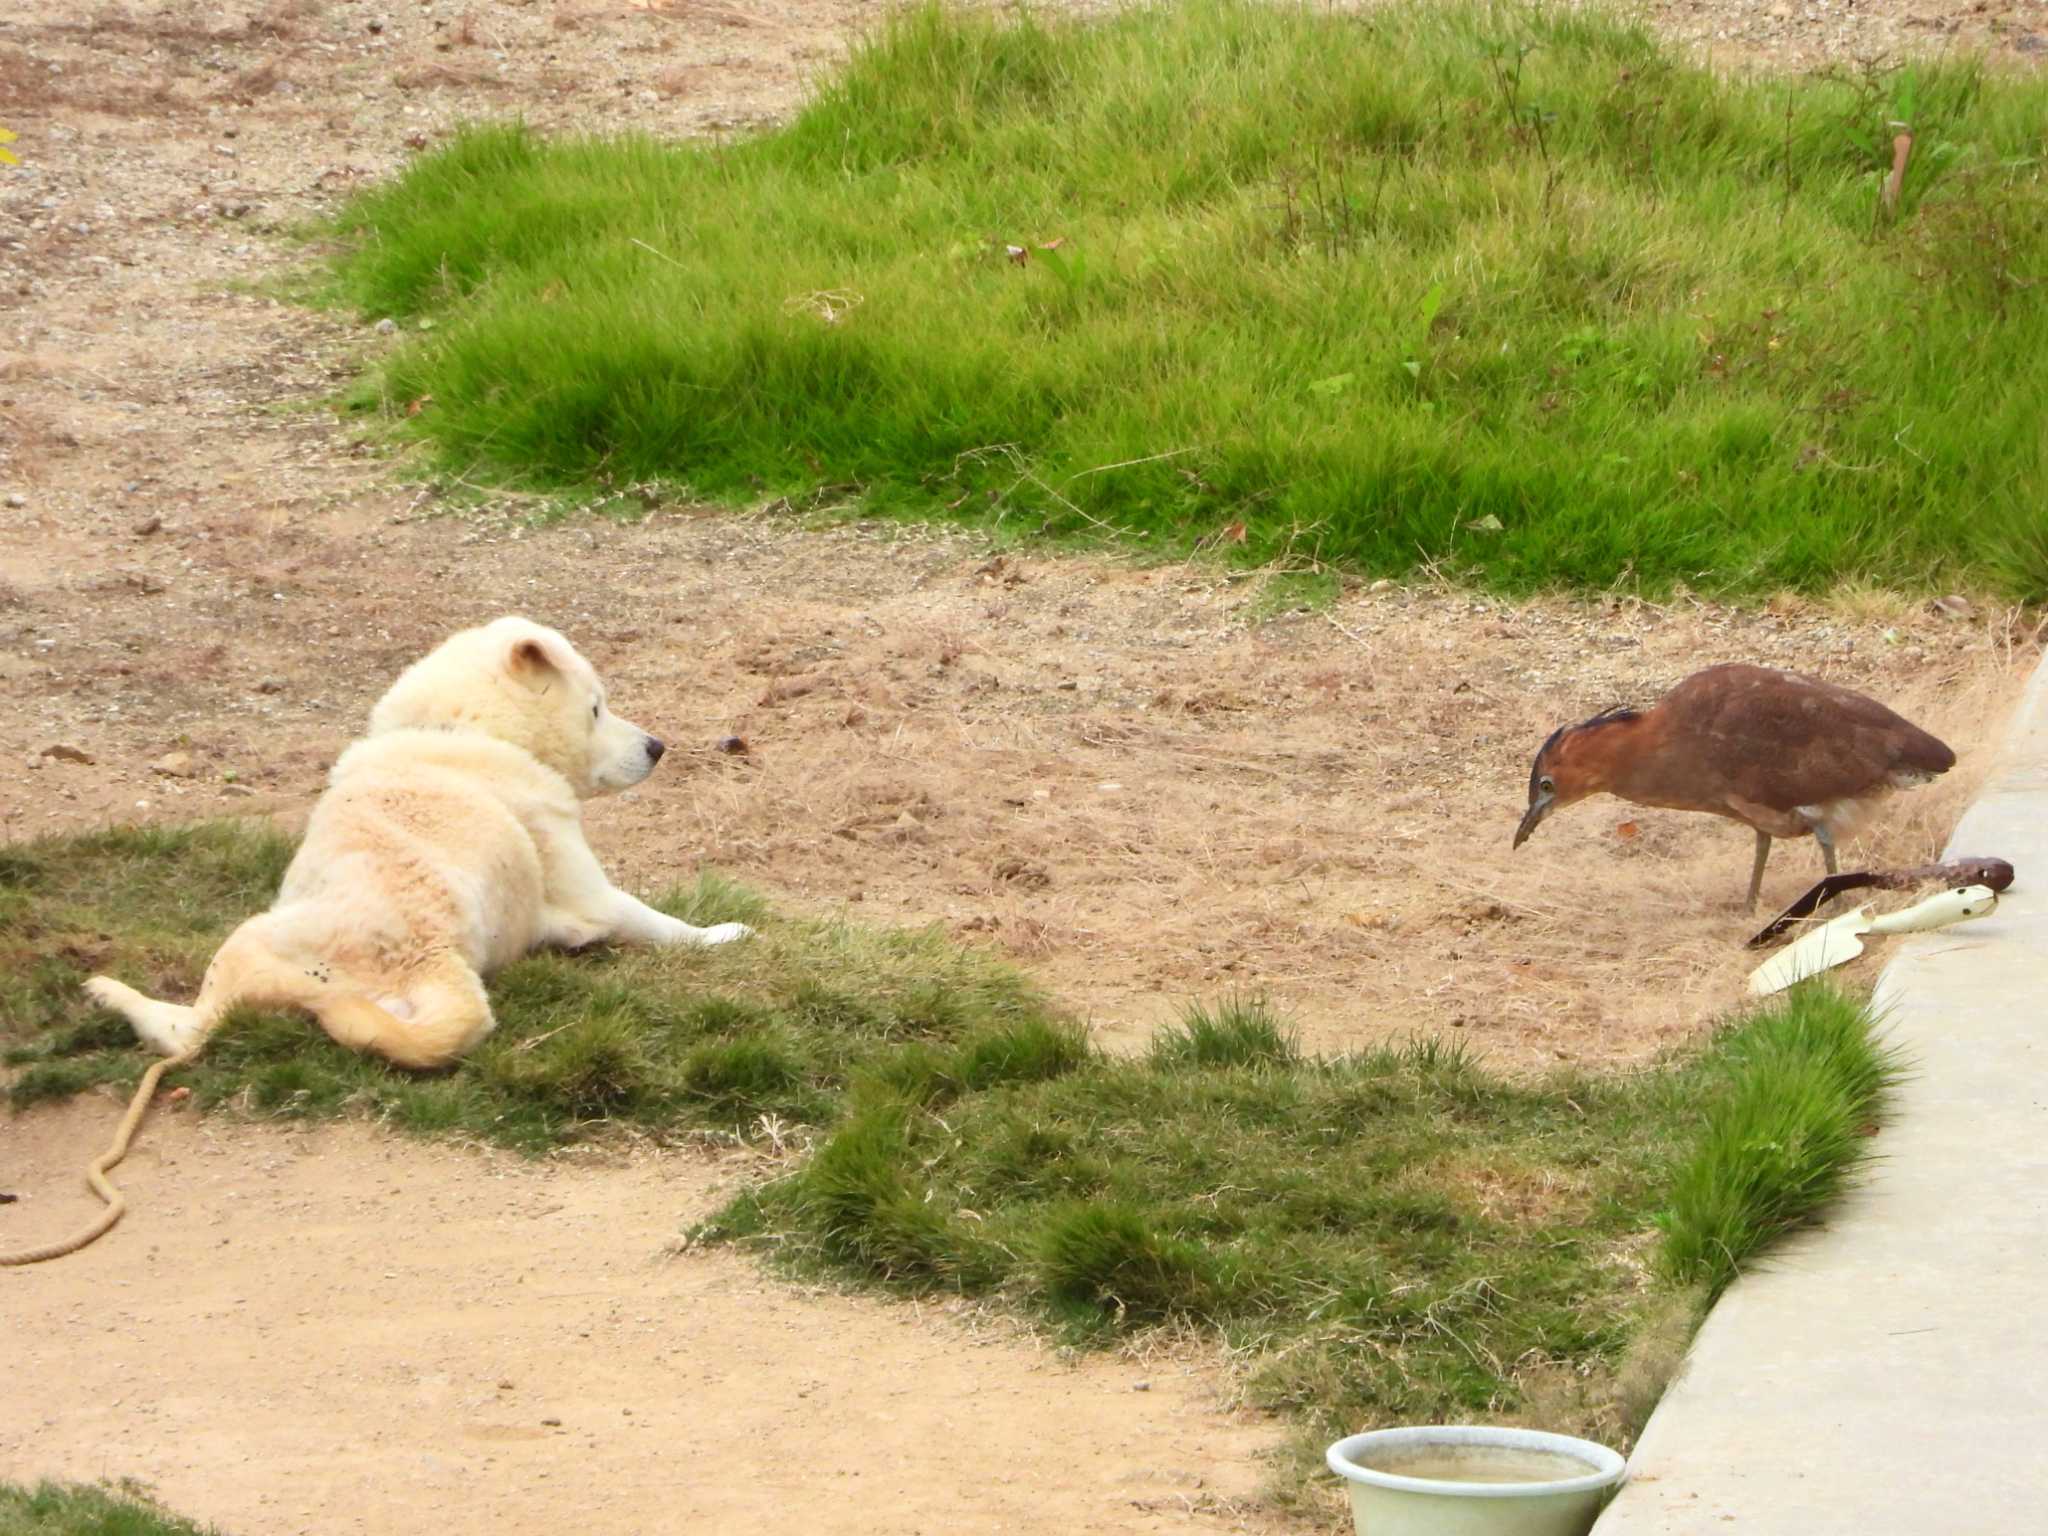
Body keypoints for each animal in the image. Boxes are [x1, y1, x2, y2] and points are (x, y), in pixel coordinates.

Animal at [86, 614, 753, 1073]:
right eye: (595, 709)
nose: (658, 747)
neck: (464, 731)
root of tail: (423, 957)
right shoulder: (589, 893)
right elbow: (664, 924)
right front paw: (723, 934)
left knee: (192, 1033)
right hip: (247, 939)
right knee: (184, 1033)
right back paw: (112, 994)